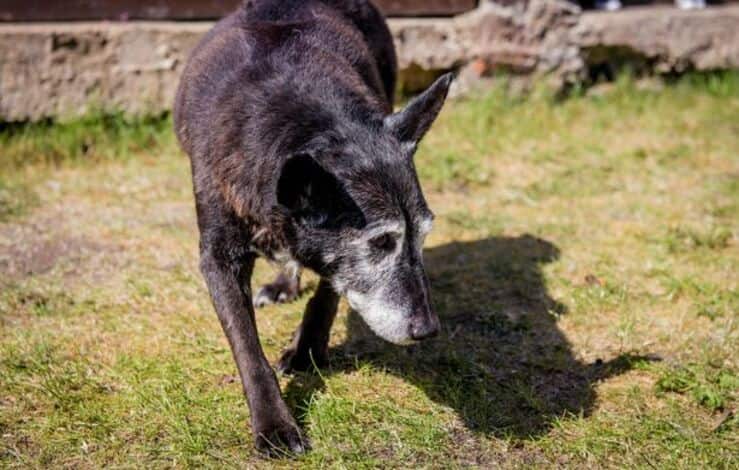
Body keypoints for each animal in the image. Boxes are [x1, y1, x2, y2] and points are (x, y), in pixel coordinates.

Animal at [174, 0, 450, 456]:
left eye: (422, 236)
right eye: (382, 242)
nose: (427, 330)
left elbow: (329, 291)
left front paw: (307, 351)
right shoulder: (217, 257)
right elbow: (248, 349)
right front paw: (274, 424)